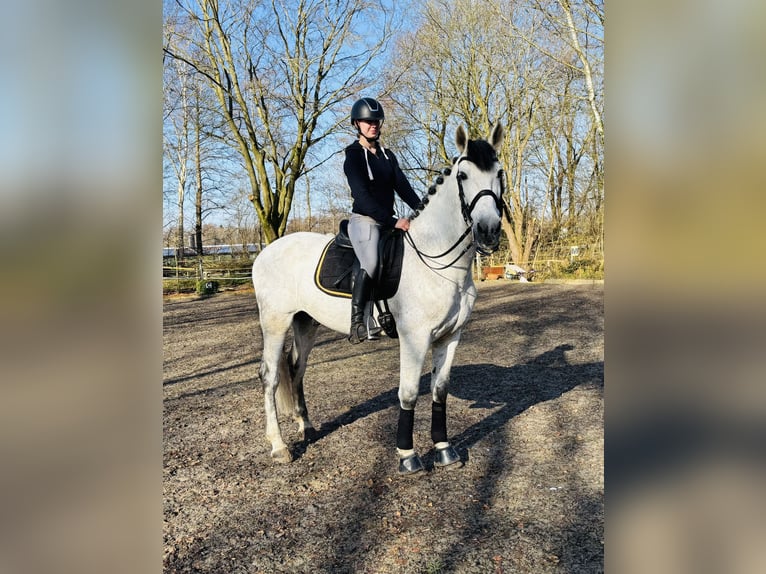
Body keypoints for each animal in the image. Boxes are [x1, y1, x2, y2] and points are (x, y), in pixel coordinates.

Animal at [252, 124, 505, 475]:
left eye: (499, 173)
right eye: (463, 175)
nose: (488, 231)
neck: (438, 261)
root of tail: (266, 251)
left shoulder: (451, 336)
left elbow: (439, 390)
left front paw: (444, 449)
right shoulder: (414, 338)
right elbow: (409, 393)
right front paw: (408, 455)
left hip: (306, 322)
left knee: (296, 368)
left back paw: (307, 427)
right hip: (275, 322)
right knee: (271, 376)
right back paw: (279, 446)